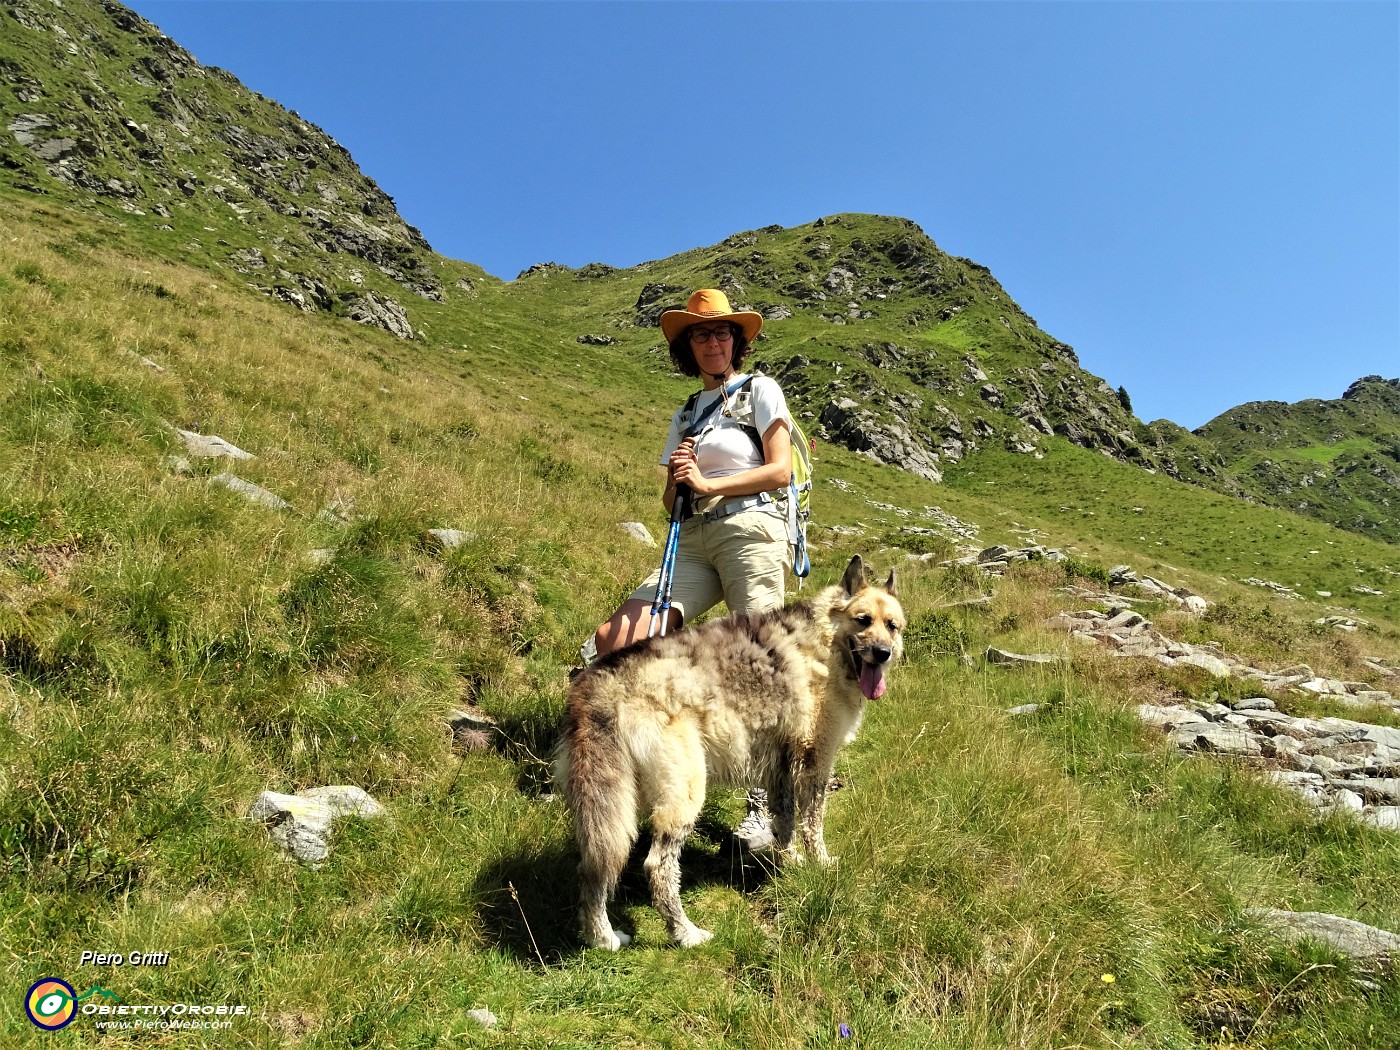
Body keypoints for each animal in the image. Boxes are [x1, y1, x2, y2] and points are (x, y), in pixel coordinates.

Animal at [557, 560, 907, 952]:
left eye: (892, 626)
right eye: (863, 620)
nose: (882, 653)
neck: (824, 644)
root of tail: (599, 682)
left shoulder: (781, 771)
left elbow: (784, 825)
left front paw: (789, 864)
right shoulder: (814, 764)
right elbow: (812, 826)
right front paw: (819, 864)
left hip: (608, 806)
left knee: (592, 871)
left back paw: (601, 938)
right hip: (686, 793)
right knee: (657, 867)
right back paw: (686, 934)